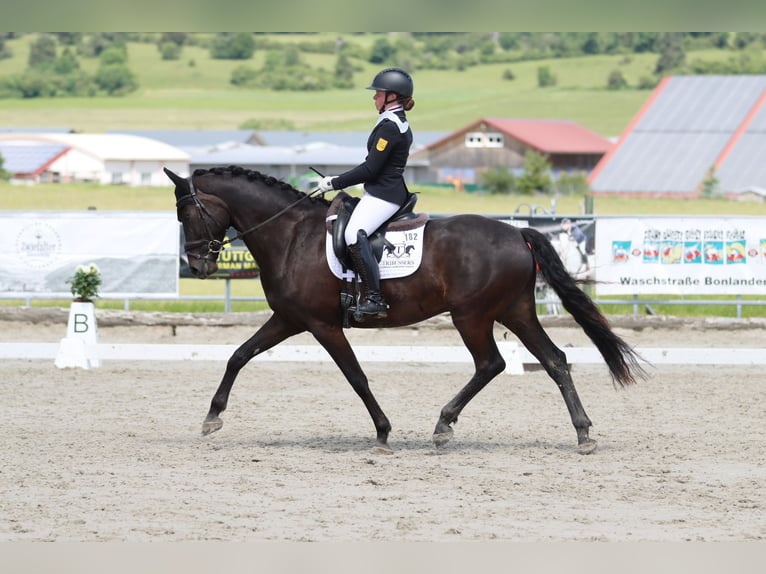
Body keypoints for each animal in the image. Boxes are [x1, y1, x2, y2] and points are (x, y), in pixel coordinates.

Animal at [165, 165, 645, 455]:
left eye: (187, 213)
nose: (199, 266)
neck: (291, 235)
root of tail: (517, 234)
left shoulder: (322, 325)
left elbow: (356, 377)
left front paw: (382, 431)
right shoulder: (288, 319)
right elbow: (238, 356)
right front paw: (212, 418)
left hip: (472, 315)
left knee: (491, 363)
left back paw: (444, 424)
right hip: (515, 310)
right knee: (554, 360)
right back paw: (582, 433)